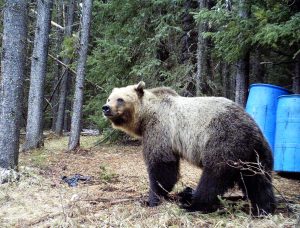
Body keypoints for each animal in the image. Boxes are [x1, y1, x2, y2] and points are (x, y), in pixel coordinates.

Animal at [103, 82, 276, 216]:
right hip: (255, 155)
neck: (145, 116)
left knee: (213, 177)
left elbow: (162, 166)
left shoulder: (160, 129)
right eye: (109, 98)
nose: (106, 108)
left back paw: (193, 205)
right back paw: (264, 208)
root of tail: (253, 131)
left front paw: (151, 199)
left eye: (120, 99)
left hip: (224, 140)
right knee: (257, 180)